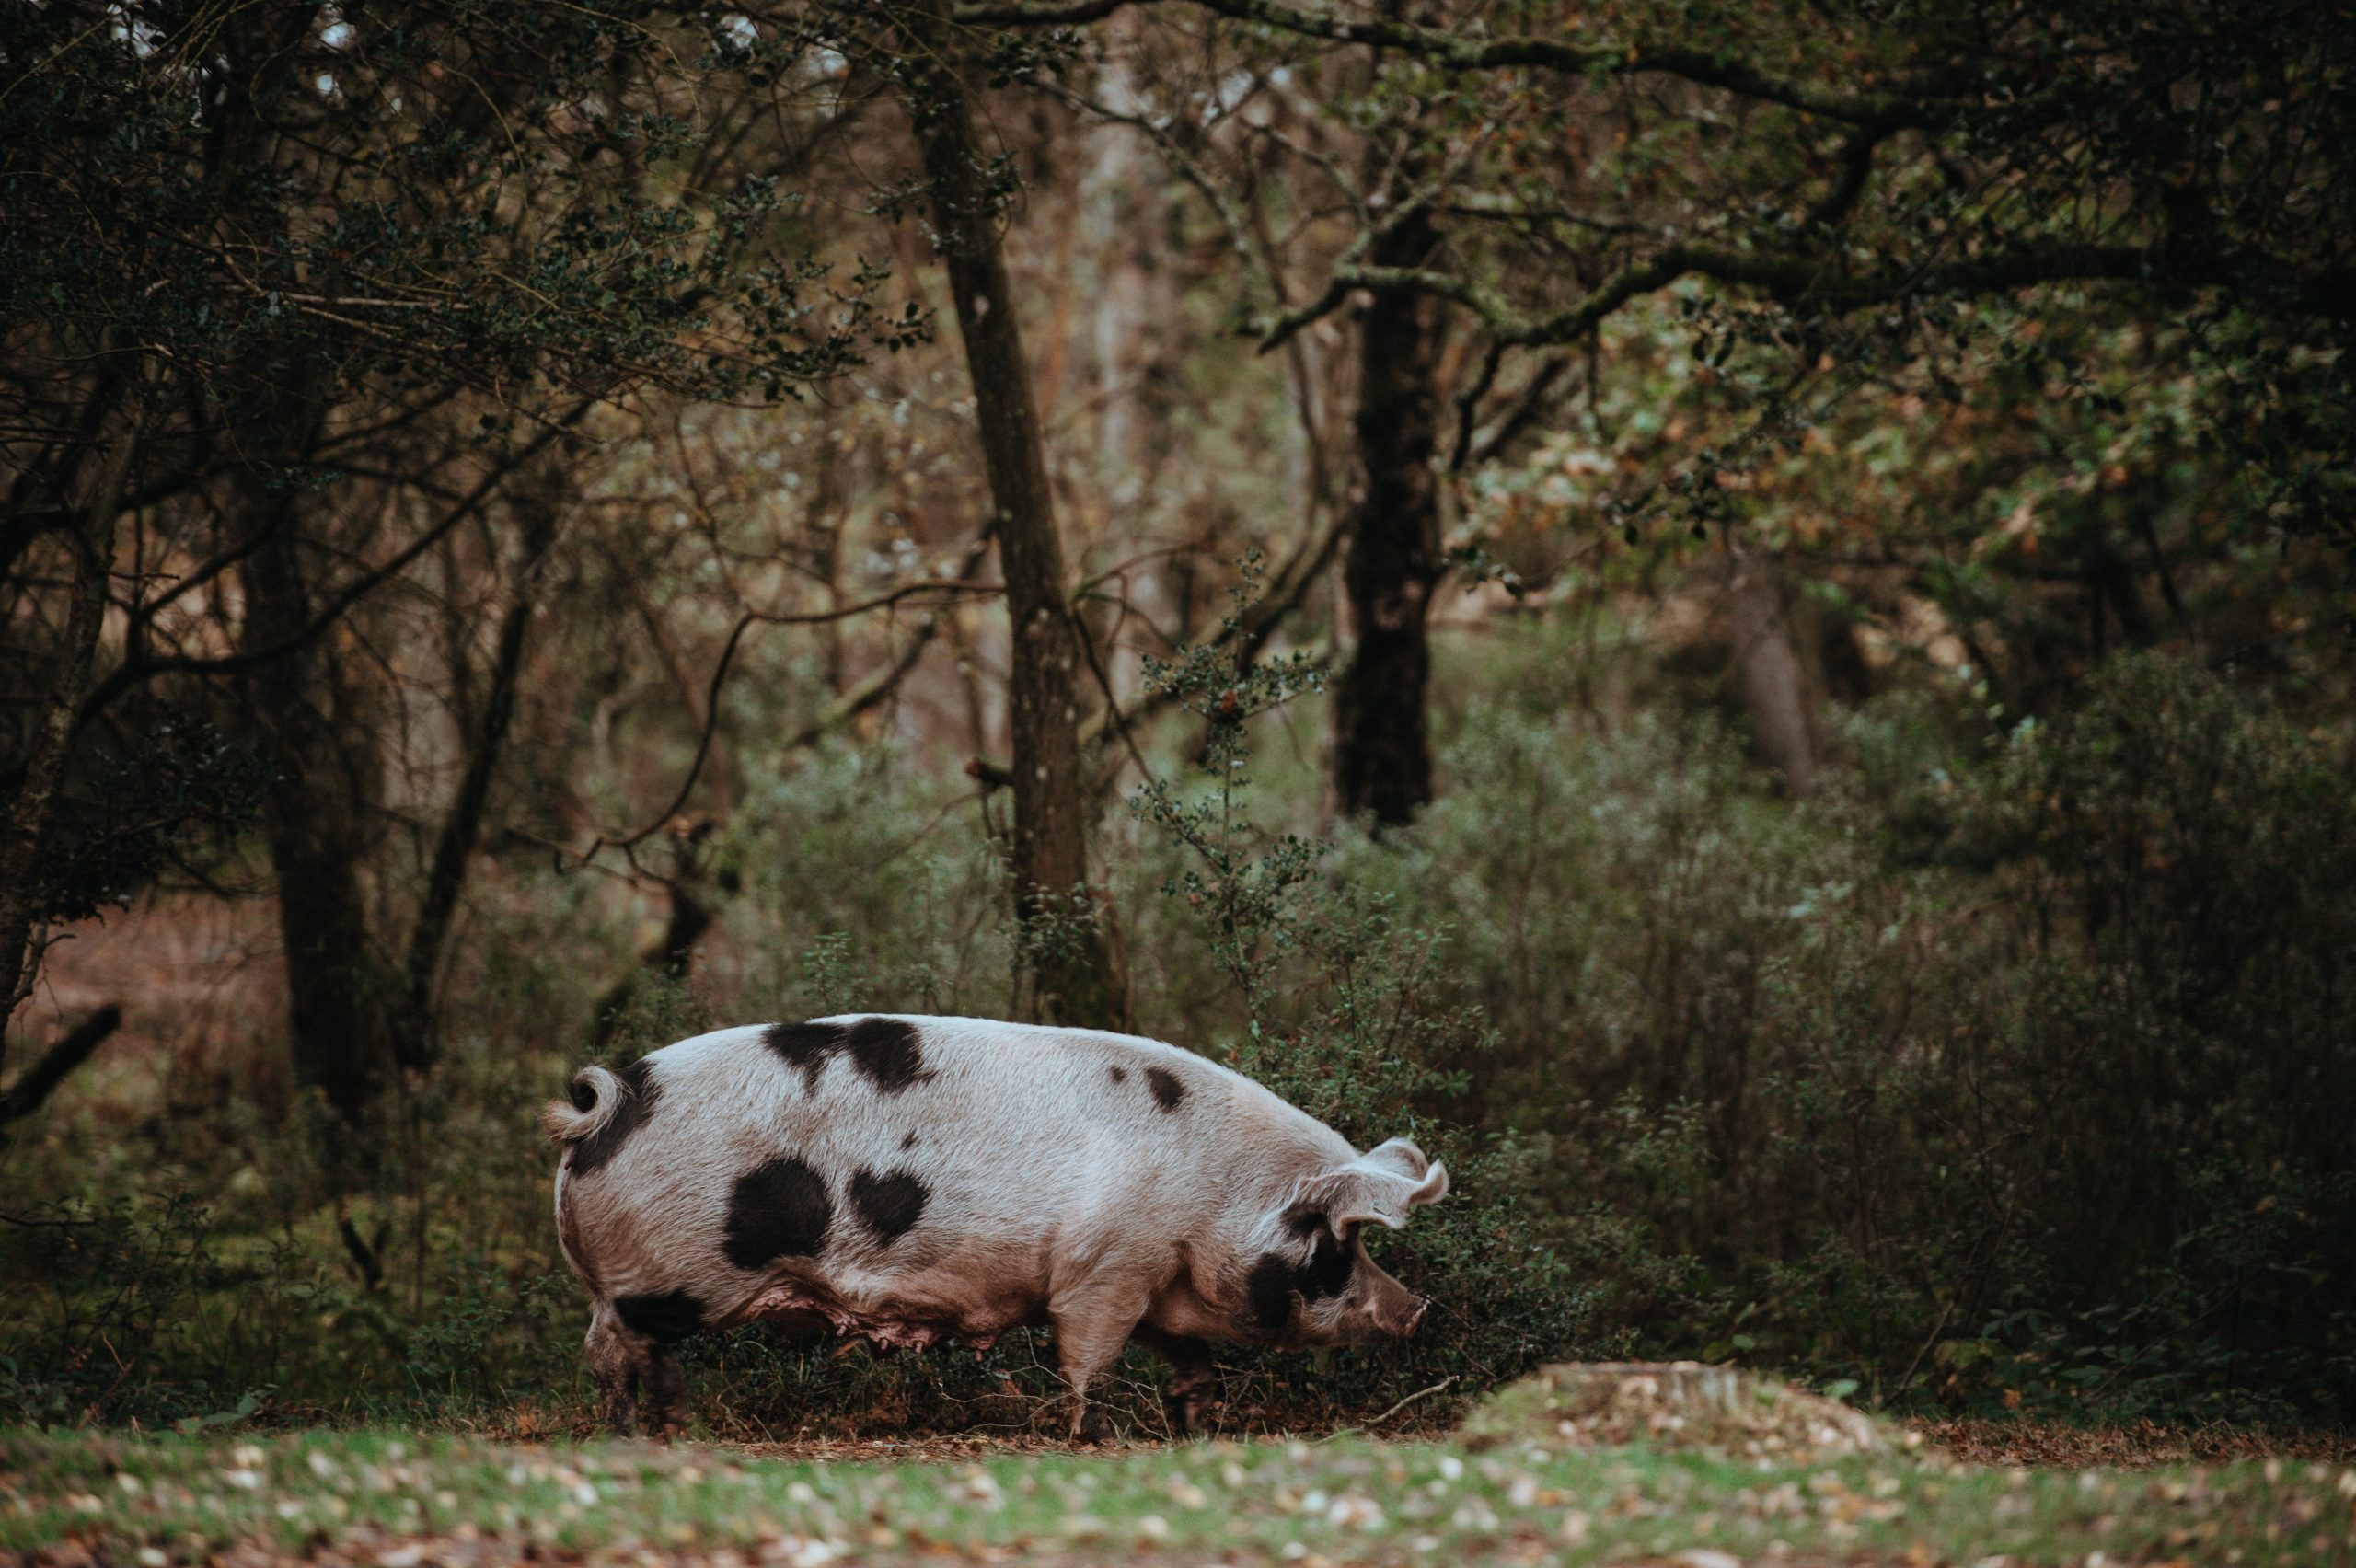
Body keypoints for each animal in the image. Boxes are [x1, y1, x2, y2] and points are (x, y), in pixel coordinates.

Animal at [541, 1008, 1441, 1431]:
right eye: (1338, 1240)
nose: (1417, 1310)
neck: (1216, 1195)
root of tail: (606, 1108)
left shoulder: (1151, 1280)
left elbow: (1192, 1362)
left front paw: (1195, 1423)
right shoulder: (1104, 1270)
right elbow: (1088, 1361)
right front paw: (1093, 1436)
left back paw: (672, 1423)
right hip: (661, 1279)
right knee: (607, 1348)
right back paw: (633, 1431)